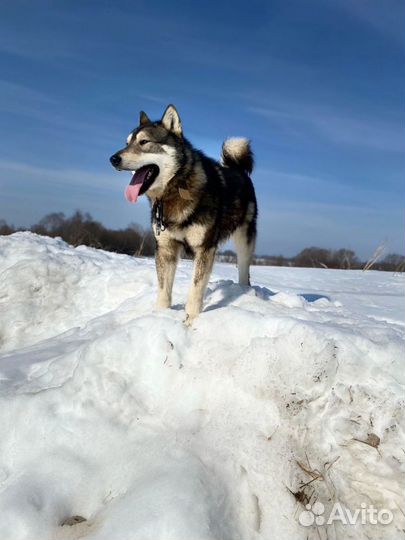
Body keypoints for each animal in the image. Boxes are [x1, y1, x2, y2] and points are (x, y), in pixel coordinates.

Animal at [109, 106, 258, 324]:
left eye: (144, 142)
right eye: (126, 143)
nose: (113, 159)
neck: (177, 187)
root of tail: (238, 169)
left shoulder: (205, 248)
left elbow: (195, 289)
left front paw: (191, 320)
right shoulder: (165, 248)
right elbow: (164, 289)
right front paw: (160, 315)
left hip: (244, 239)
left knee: (244, 269)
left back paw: (243, 290)